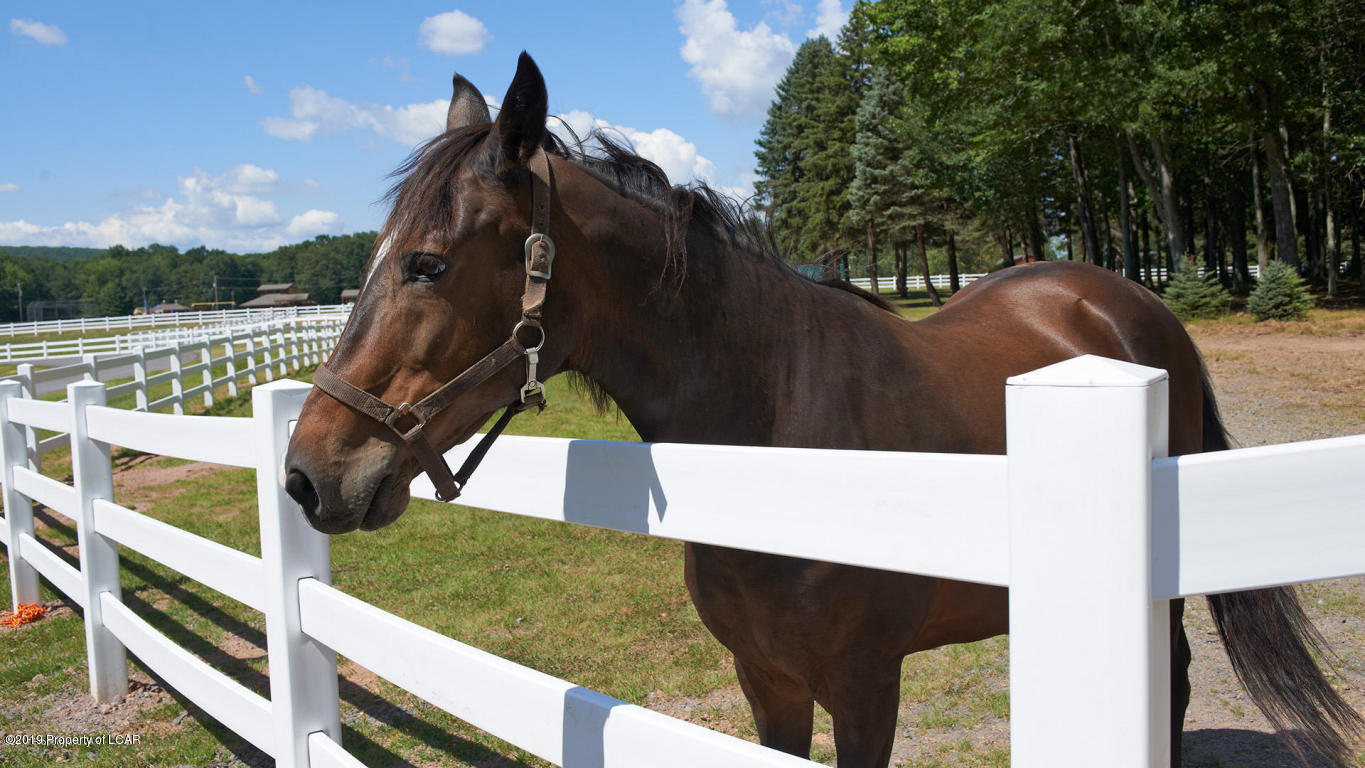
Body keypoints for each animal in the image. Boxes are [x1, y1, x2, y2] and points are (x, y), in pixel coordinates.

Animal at [282, 52, 1359, 763]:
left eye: (428, 264)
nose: (308, 473)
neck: (780, 439)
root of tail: (1123, 300)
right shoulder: (769, 680)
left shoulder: (866, 685)